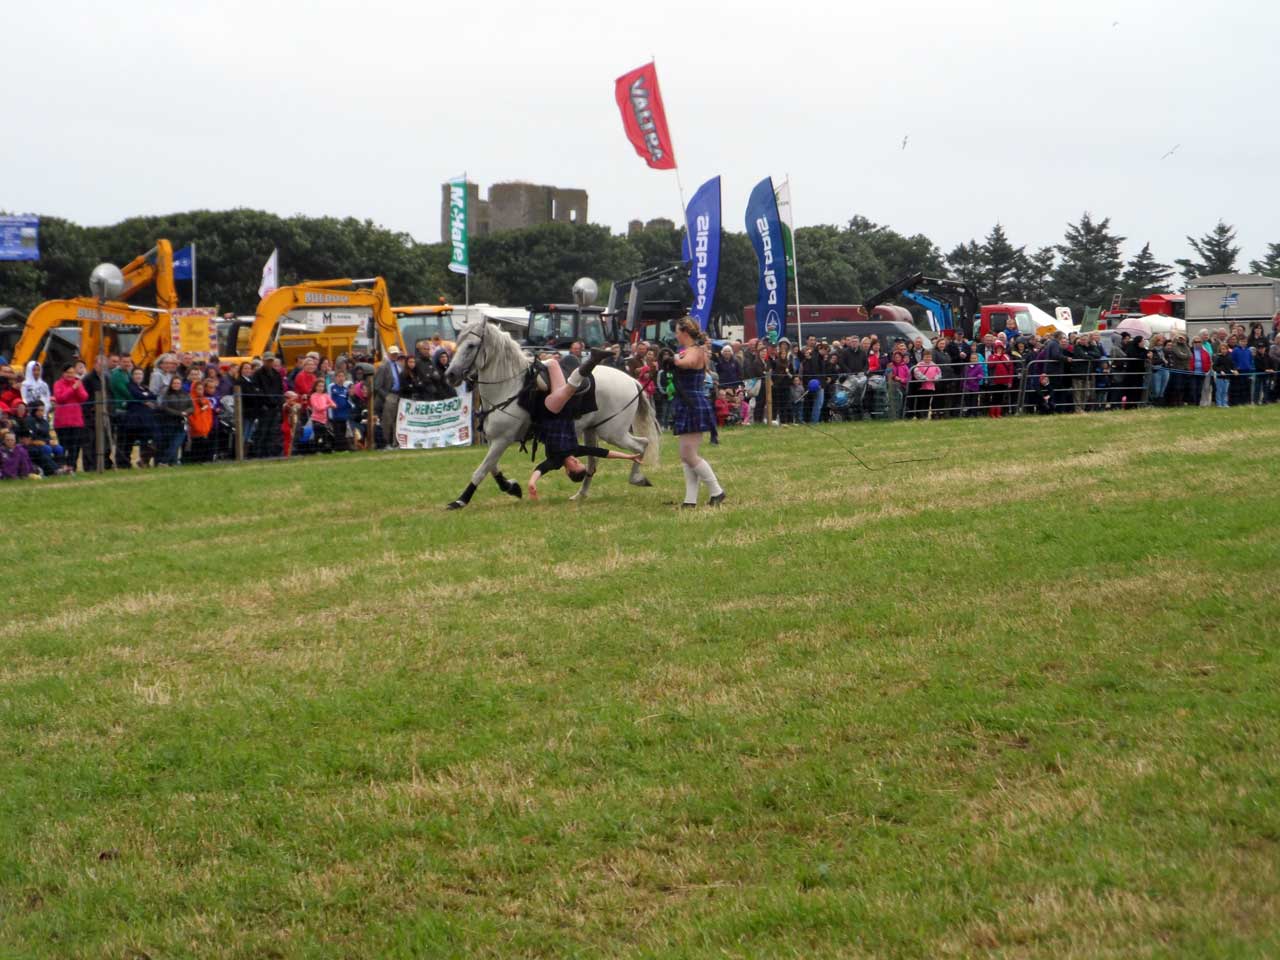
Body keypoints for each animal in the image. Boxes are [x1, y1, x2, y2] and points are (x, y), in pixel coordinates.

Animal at [442, 317, 660, 514]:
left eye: (471, 345)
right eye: (458, 344)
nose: (450, 375)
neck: (508, 387)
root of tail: (632, 381)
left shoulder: (502, 440)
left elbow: (481, 471)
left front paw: (460, 501)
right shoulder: (495, 440)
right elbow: (492, 468)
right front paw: (512, 487)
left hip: (613, 432)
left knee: (641, 445)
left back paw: (637, 478)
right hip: (593, 430)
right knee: (594, 462)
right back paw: (580, 494)